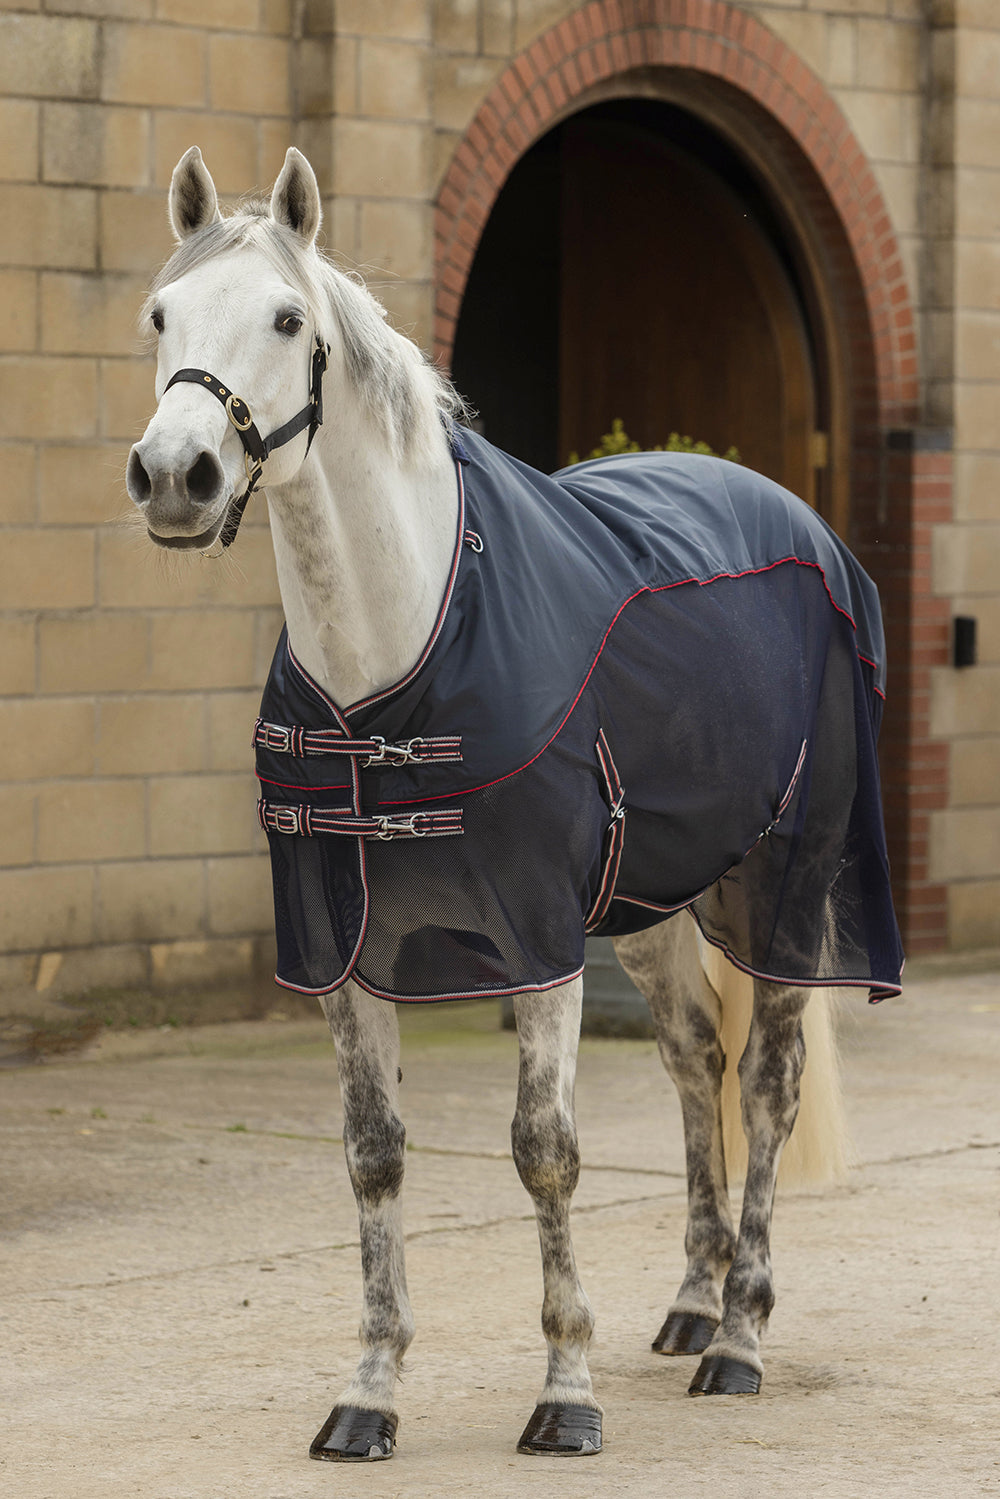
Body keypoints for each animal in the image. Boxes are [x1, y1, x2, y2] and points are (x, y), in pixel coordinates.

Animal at [124, 146, 903, 1462]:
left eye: (286, 319)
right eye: (160, 316)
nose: (176, 477)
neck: (395, 655)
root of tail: (790, 513)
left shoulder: (537, 942)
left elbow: (545, 1153)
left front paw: (566, 1392)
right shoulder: (343, 947)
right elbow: (374, 1157)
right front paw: (370, 1391)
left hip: (780, 884)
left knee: (763, 1082)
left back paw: (740, 1336)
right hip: (646, 906)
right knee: (694, 1058)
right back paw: (692, 1303)